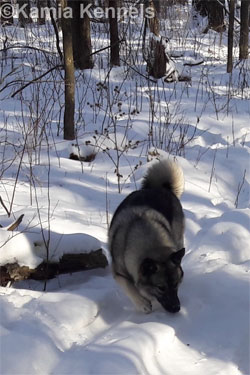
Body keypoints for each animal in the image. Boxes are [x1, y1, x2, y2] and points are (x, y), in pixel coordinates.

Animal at [108, 160, 185, 316]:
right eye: (161, 287)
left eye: (176, 284)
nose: (176, 308)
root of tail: (161, 187)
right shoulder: (118, 272)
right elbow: (129, 286)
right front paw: (142, 303)